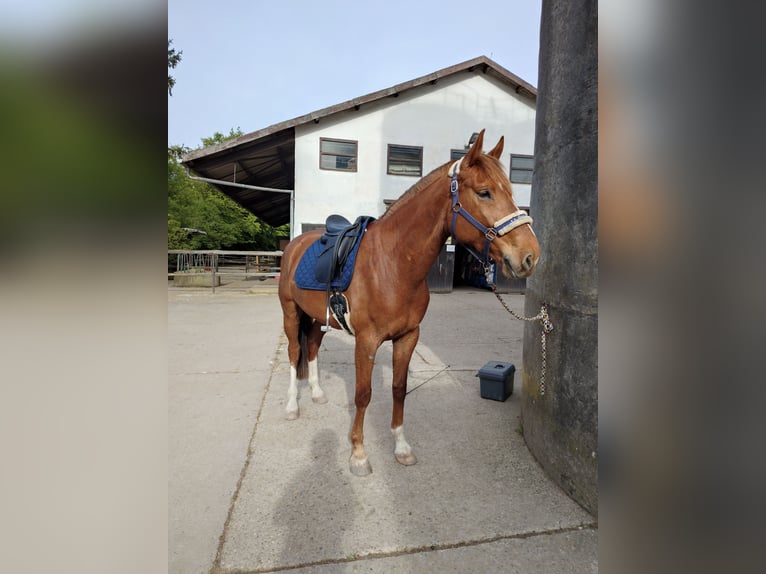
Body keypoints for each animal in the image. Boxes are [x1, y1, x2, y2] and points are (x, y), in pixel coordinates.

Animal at [278, 129, 540, 476]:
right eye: (484, 193)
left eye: (510, 191)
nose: (530, 255)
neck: (393, 263)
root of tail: (295, 245)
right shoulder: (367, 341)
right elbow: (363, 394)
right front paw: (358, 454)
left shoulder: (408, 337)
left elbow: (399, 390)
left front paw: (401, 447)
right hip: (291, 314)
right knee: (295, 353)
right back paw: (292, 406)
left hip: (318, 318)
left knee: (312, 348)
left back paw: (318, 393)